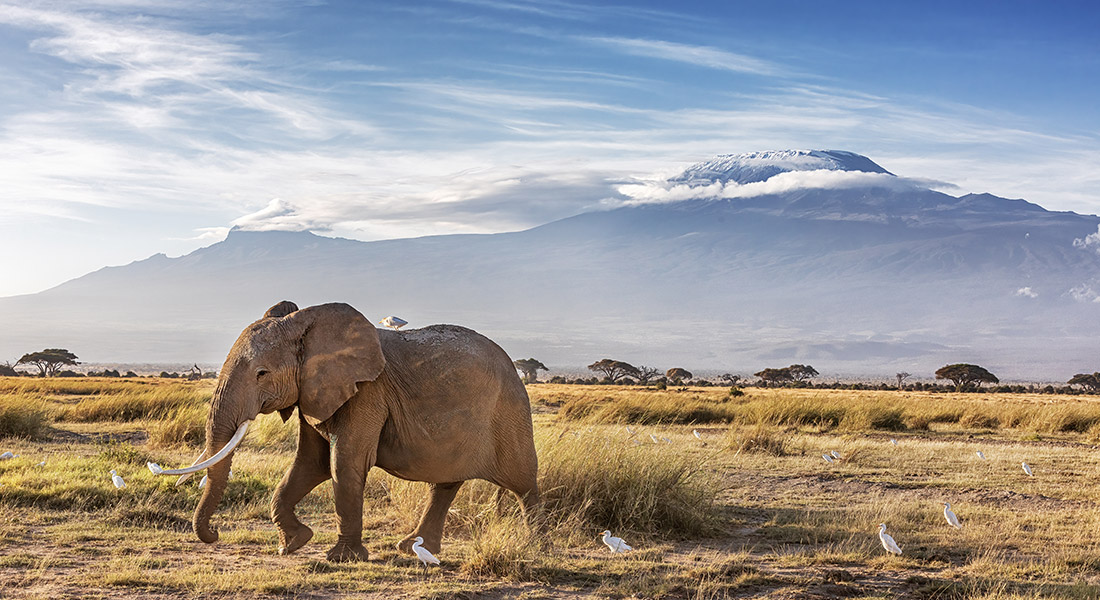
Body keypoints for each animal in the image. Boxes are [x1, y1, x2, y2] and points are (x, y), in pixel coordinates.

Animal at [158, 301, 541, 559]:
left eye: (261, 374)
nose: (215, 533)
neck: (306, 324)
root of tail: (513, 365)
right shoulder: (313, 392)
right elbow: (309, 464)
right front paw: (293, 544)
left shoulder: (367, 392)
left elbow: (343, 464)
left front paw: (341, 559)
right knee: (445, 483)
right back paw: (412, 549)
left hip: (509, 411)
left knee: (523, 482)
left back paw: (536, 545)